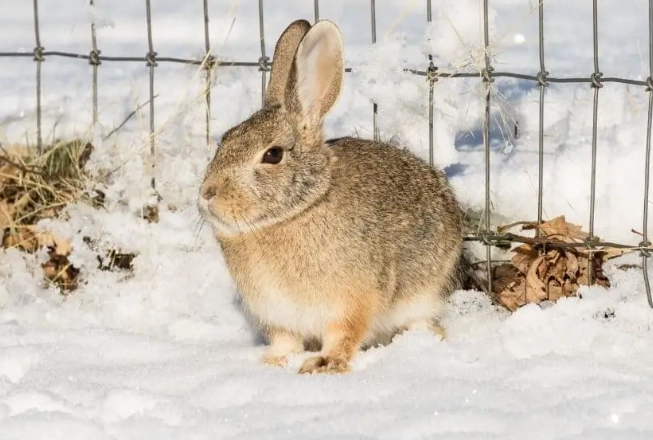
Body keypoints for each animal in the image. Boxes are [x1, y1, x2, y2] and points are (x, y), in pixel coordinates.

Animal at [198, 18, 464, 375]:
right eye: (224, 140)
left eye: (273, 155)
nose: (207, 193)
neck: (297, 209)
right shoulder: (277, 316)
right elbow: (285, 341)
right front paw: (272, 363)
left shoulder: (351, 304)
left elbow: (344, 335)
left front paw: (324, 365)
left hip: (424, 293)